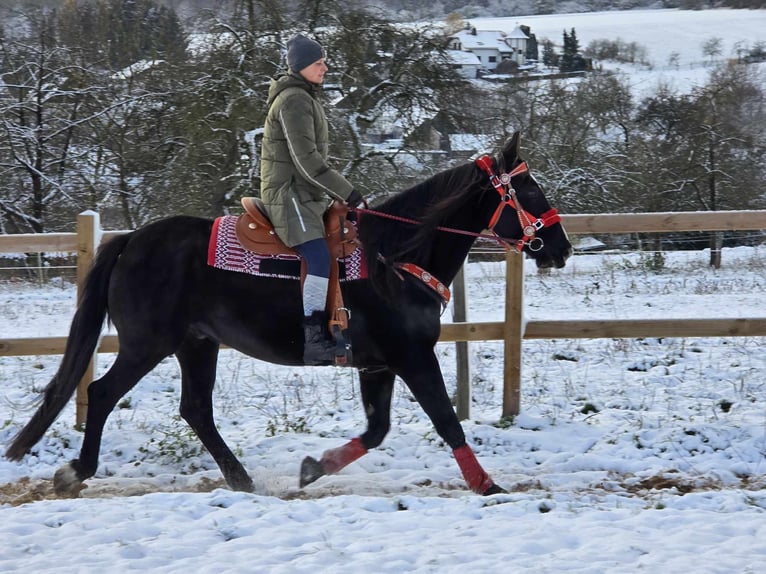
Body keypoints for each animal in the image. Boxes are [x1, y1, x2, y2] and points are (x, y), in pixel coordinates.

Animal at [4, 133, 568, 498]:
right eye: (531, 190)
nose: (561, 248)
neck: (395, 256)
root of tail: (130, 241)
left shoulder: (377, 365)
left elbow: (377, 430)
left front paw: (314, 467)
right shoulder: (412, 357)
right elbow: (447, 422)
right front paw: (487, 484)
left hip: (196, 344)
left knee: (196, 409)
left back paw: (241, 478)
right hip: (148, 343)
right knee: (102, 394)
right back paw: (77, 471)